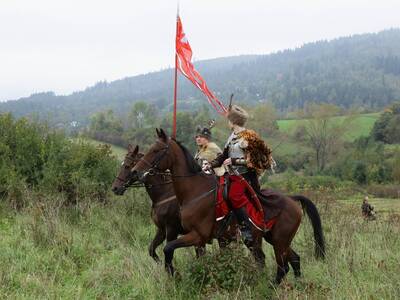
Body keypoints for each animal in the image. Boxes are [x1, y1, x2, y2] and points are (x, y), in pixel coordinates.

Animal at [131, 128, 324, 284]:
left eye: (156, 150)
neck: (195, 191)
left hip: (279, 241)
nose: (135, 172)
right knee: (294, 259)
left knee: (282, 267)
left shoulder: (197, 235)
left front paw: (175, 275)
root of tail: (291, 200)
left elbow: (168, 248)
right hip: (274, 238)